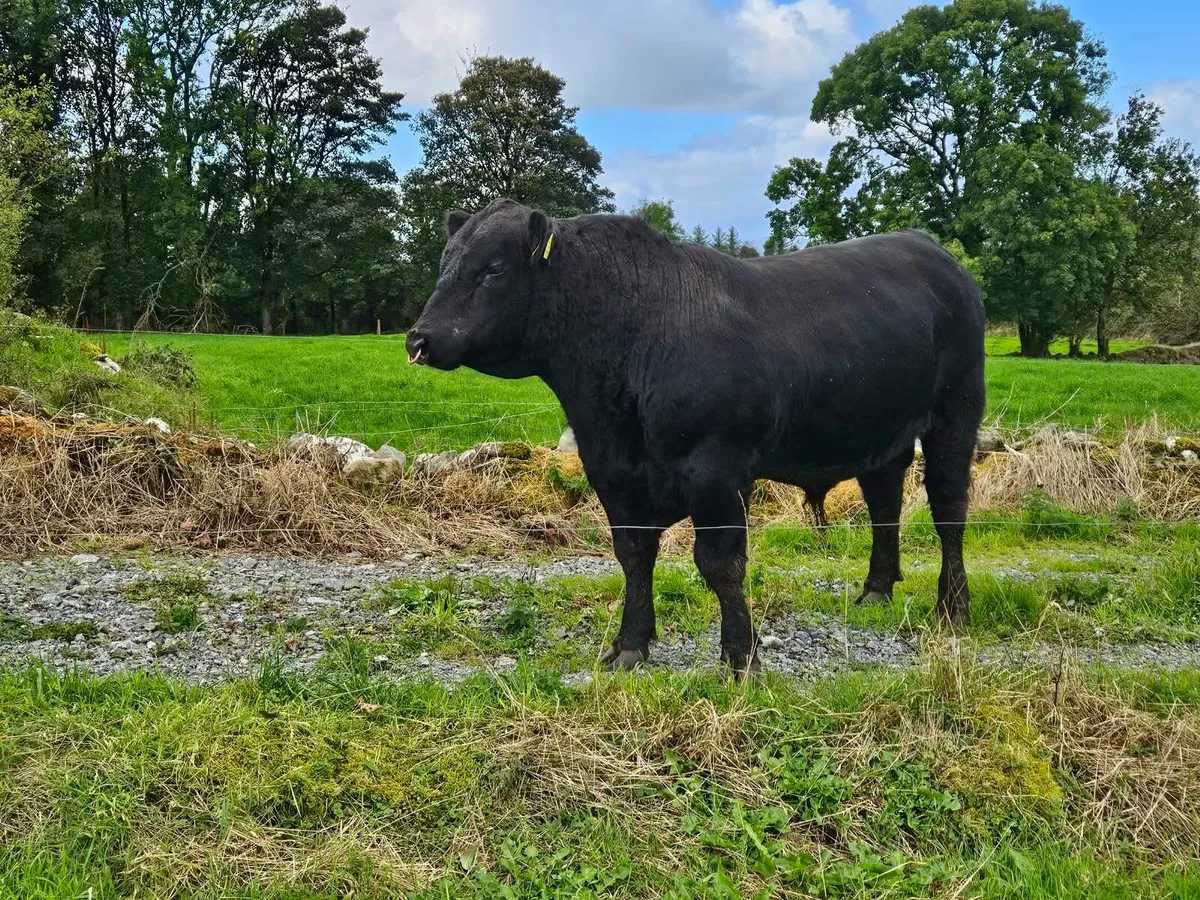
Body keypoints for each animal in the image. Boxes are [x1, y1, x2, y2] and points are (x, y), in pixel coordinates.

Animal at [407, 199, 986, 676]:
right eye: (443, 265)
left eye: (494, 269)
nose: (418, 339)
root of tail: (926, 245)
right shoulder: (613, 475)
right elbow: (633, 556)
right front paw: (630, 644)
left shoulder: (716, 472)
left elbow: (720, 565)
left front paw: (740, 658)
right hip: (880, 433)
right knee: (884, 503)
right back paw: (876, 591)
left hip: (956, 413)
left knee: (948, 510)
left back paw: (952, 608)